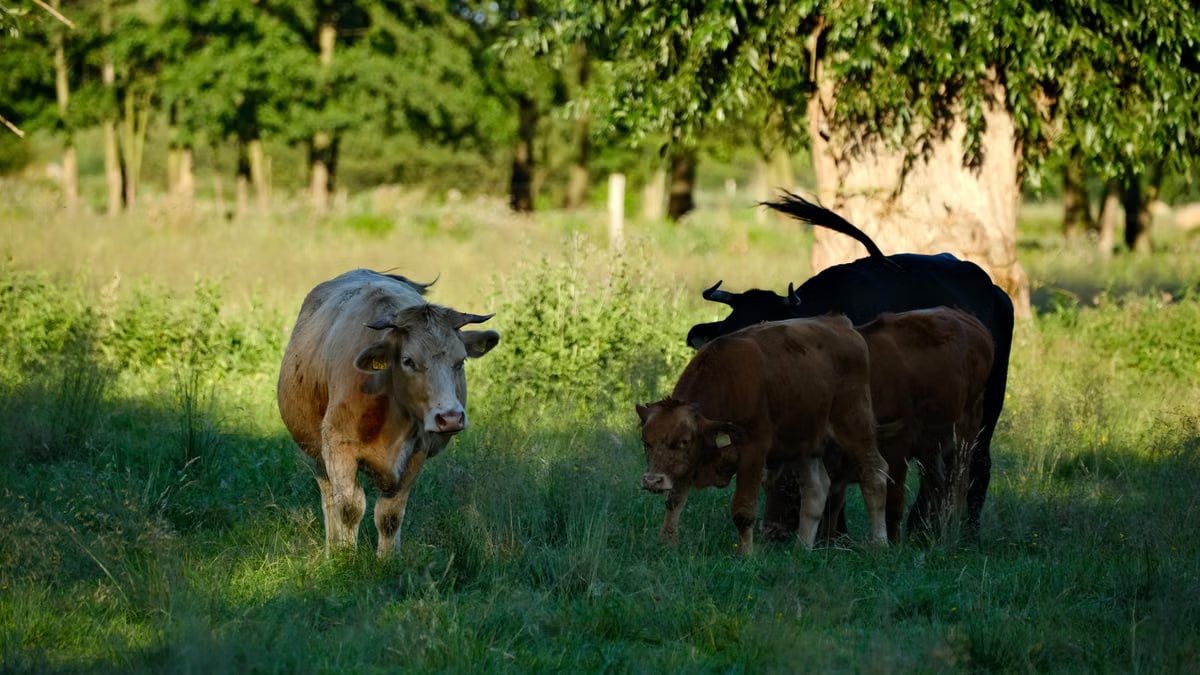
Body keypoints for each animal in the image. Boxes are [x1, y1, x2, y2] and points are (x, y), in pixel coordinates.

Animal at [276, 269, 500, 557]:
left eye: (460, 361)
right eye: (408, 361)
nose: (450, 417)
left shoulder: (416, 454)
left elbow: (389, 515)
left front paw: (388, 559)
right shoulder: (338, 447)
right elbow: (348, 508)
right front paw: (346, 557)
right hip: (315, 451)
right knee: (328, 498)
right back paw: (333, 548)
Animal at [636, 315, 889, 554]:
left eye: (683, 441)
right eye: (646, 442)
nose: (652, 480)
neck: (728, 381)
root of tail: (840, 323)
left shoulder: (752, 450)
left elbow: (744, 509)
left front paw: (746, 554)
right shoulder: (691, 461)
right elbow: (674, 501)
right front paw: (667, 544)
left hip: (854, 425)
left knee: (874, 474)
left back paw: (879, 544)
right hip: (805, 443)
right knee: (816, 489)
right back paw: (801, 549)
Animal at [764, 308, 995, 543]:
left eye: (791, 487)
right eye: (765, 485)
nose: (771, 531)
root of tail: (963, 315)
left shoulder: (896, 447)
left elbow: (893, 501)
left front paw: (893, 543)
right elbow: (834, 501)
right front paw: (828, 541)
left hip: (966, 434)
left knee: (958, 483)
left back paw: (951, 531)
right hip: (932, 444)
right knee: (937, 483)